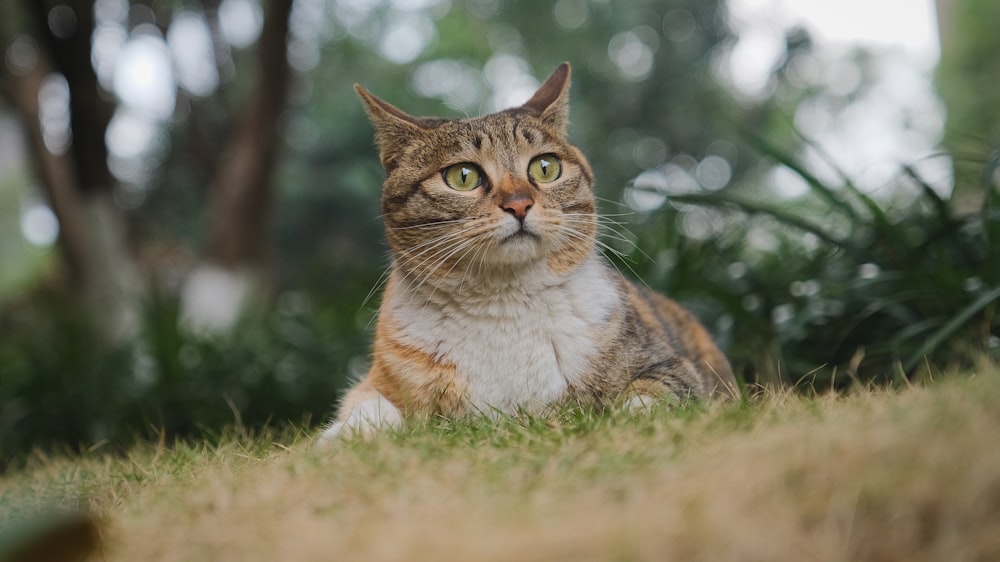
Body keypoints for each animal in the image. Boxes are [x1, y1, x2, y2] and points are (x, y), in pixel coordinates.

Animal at [320, 60, 736, 438]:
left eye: (545, 167)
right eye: (462, 176)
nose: (519, 204)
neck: (503, 305)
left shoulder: (673, 367)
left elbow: (645, 399)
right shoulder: (377, 382)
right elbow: (370, 408)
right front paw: (343, 438)